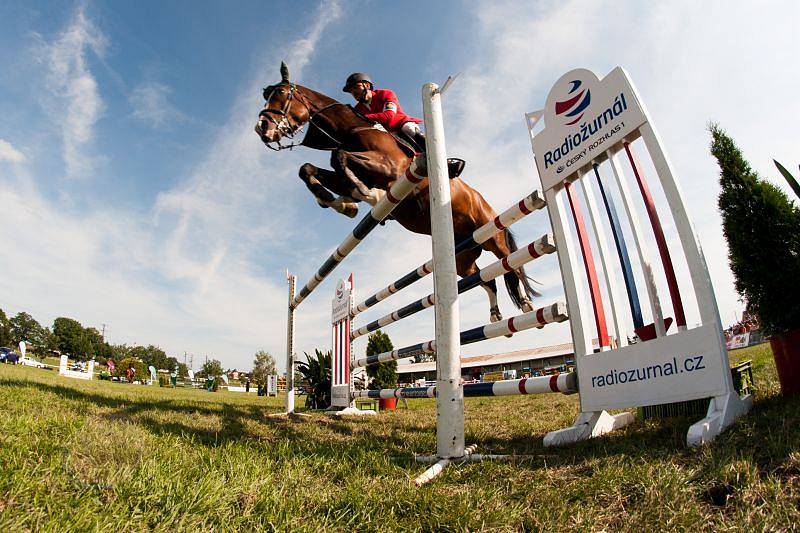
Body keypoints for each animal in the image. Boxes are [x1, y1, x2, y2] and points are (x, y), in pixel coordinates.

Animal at [256, 60, 536, 322]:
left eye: (281, 93)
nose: (262, 128)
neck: (351, 130)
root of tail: (483, 201)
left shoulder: (391, 168)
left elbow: (340, 156)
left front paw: (366, 195)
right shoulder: (347, 173)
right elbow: (309, 169)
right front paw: (342, 203)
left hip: (492, 235)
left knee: (511, 266)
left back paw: (525, 304)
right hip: (463, 256)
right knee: (487, 279)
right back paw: (495, 314)